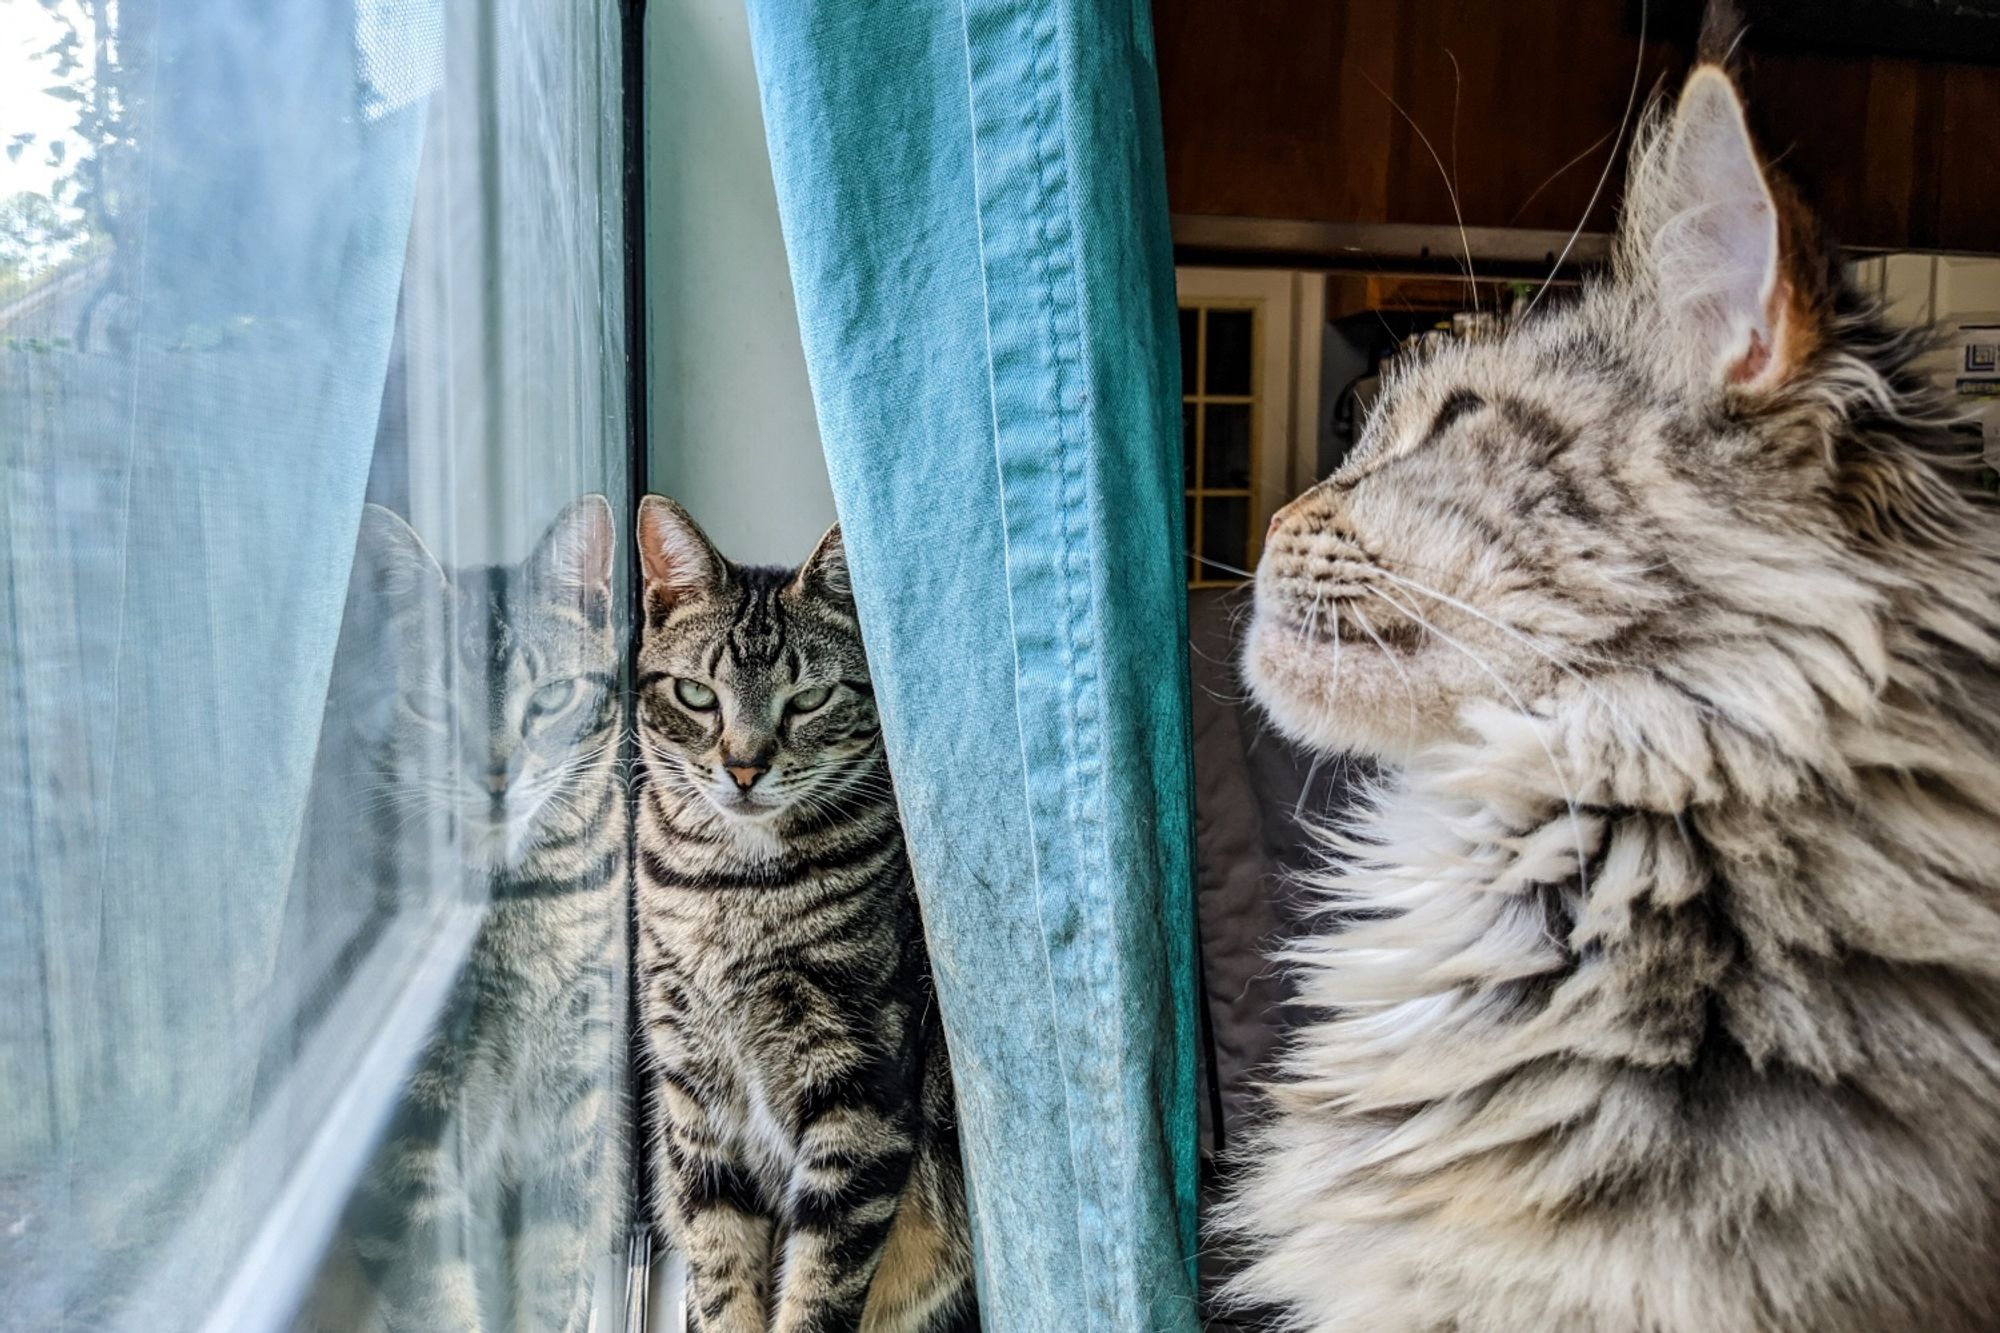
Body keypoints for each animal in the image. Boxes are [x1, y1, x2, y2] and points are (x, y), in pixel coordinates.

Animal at [304, 498, 624, 1328]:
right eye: (434, 705)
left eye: (549, 698)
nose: (498, 774)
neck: (521, 900)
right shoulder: (408, 1131)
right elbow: (435, 1294)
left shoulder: (571, 1094)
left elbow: (554, 1263)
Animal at [624, 496, 968, 1328]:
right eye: (698, 694)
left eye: (808, 698)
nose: (745, 766)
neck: (731, 888)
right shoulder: (692, 1090)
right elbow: (719, 1259)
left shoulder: (860, 1090)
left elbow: (820, 1279)